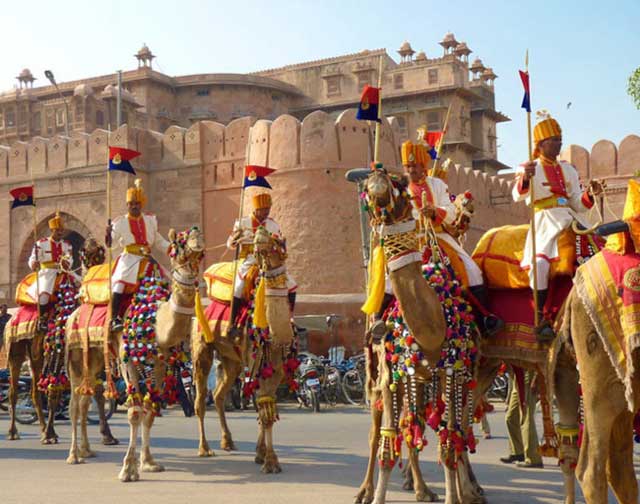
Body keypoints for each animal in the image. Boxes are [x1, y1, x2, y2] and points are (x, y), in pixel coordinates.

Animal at [192, 226, 296, 474]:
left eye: (277, 240)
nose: (259, 234)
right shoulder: (257, 361)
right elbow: (265, 412)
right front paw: (270, 461)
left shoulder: (274, 367)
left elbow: (265, 409)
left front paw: (261, 455)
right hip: (202, 348)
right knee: (200, 400)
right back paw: (204, 448)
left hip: (232, 360)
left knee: (219, 395)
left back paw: (227, 441)